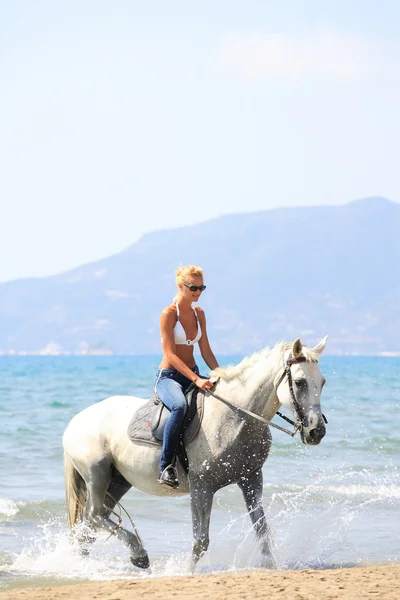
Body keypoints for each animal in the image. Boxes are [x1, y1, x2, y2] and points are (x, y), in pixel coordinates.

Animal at [61, 336, 324, 568]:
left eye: (322, 382)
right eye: (300, 382)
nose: (316, 431)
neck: (235, 416)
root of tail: (75, 421)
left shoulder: (251, 479)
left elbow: (261, 531)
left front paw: (271, 566)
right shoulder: (202, 487)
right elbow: (201, 541)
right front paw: (186, 571)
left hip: (118, 481)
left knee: (89, 525)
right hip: (97, 473)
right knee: (95, 516)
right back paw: (139, 555)